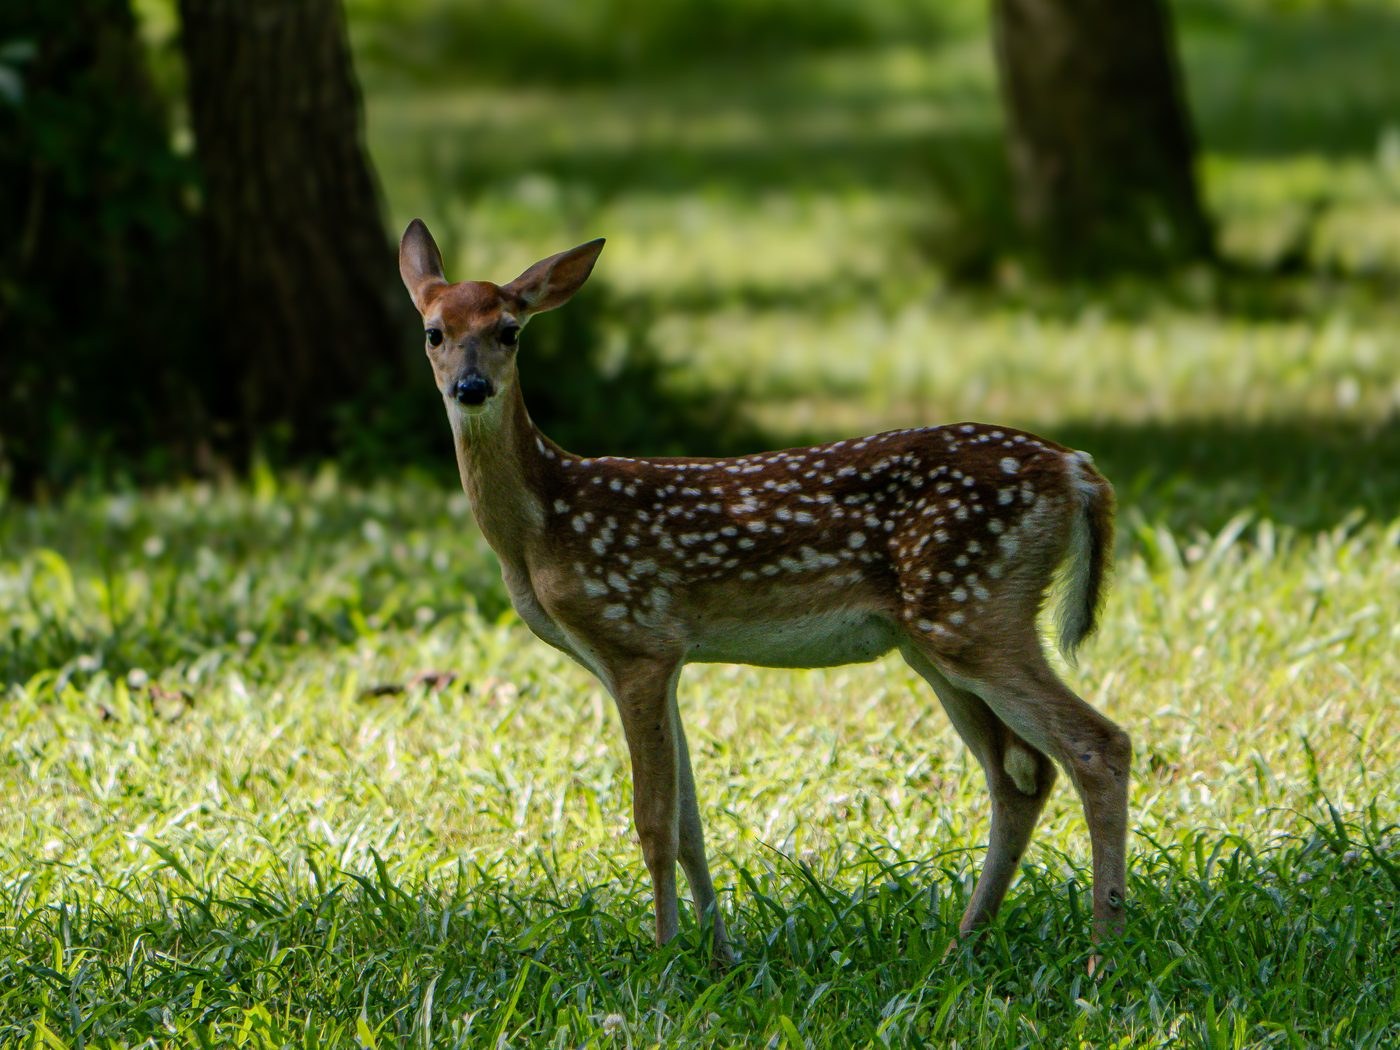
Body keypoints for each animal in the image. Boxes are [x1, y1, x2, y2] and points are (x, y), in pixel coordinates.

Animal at [398, 220, 1131, 965]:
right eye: (433, 331)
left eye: (509, 330)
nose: (471, 387)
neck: (543, 521)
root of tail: (1078, 470)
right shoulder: (664, 657)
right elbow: (689, 824)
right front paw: (719, 956)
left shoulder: (636, 639)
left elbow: (654, 823)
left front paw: (663, 962)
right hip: (936, 637)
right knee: (1022, 772)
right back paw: (963, 946)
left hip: (972, 607)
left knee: (1097, 746)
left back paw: (1101, 954)